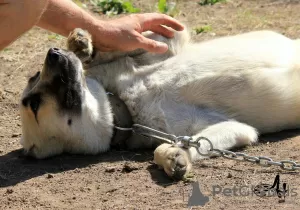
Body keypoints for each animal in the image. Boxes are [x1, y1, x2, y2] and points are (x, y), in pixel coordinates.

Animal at [19, 25, 300, 179]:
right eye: (34, 104)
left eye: (33, 76)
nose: (53, 54)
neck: (126, 104)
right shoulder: (236, 128)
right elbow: (192, 143)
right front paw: (172, 156)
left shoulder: (166, 44)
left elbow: (128, 43)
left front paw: (82, 44)